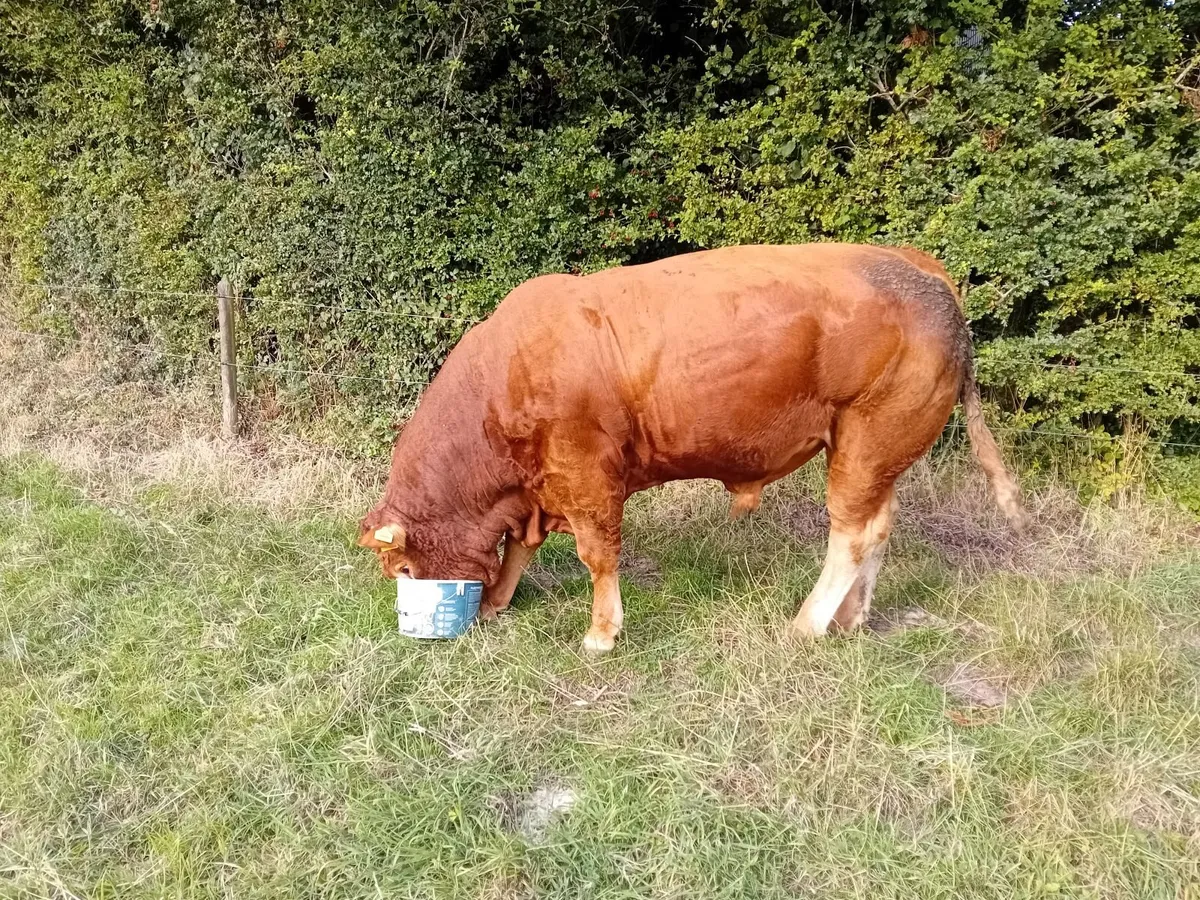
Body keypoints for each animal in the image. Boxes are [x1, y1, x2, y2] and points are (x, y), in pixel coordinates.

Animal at [359, 243, 1027, 653]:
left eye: (405, 570)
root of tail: (919, 268)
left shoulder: (586, 473)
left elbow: (598, 554)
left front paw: (601, 633)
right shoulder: (543, 486)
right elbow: (522, 550)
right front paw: (498, 600)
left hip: (868, 437)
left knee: (853, 533)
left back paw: (807, 624)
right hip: (876, 449)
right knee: (879, 526)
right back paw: (850, 618)